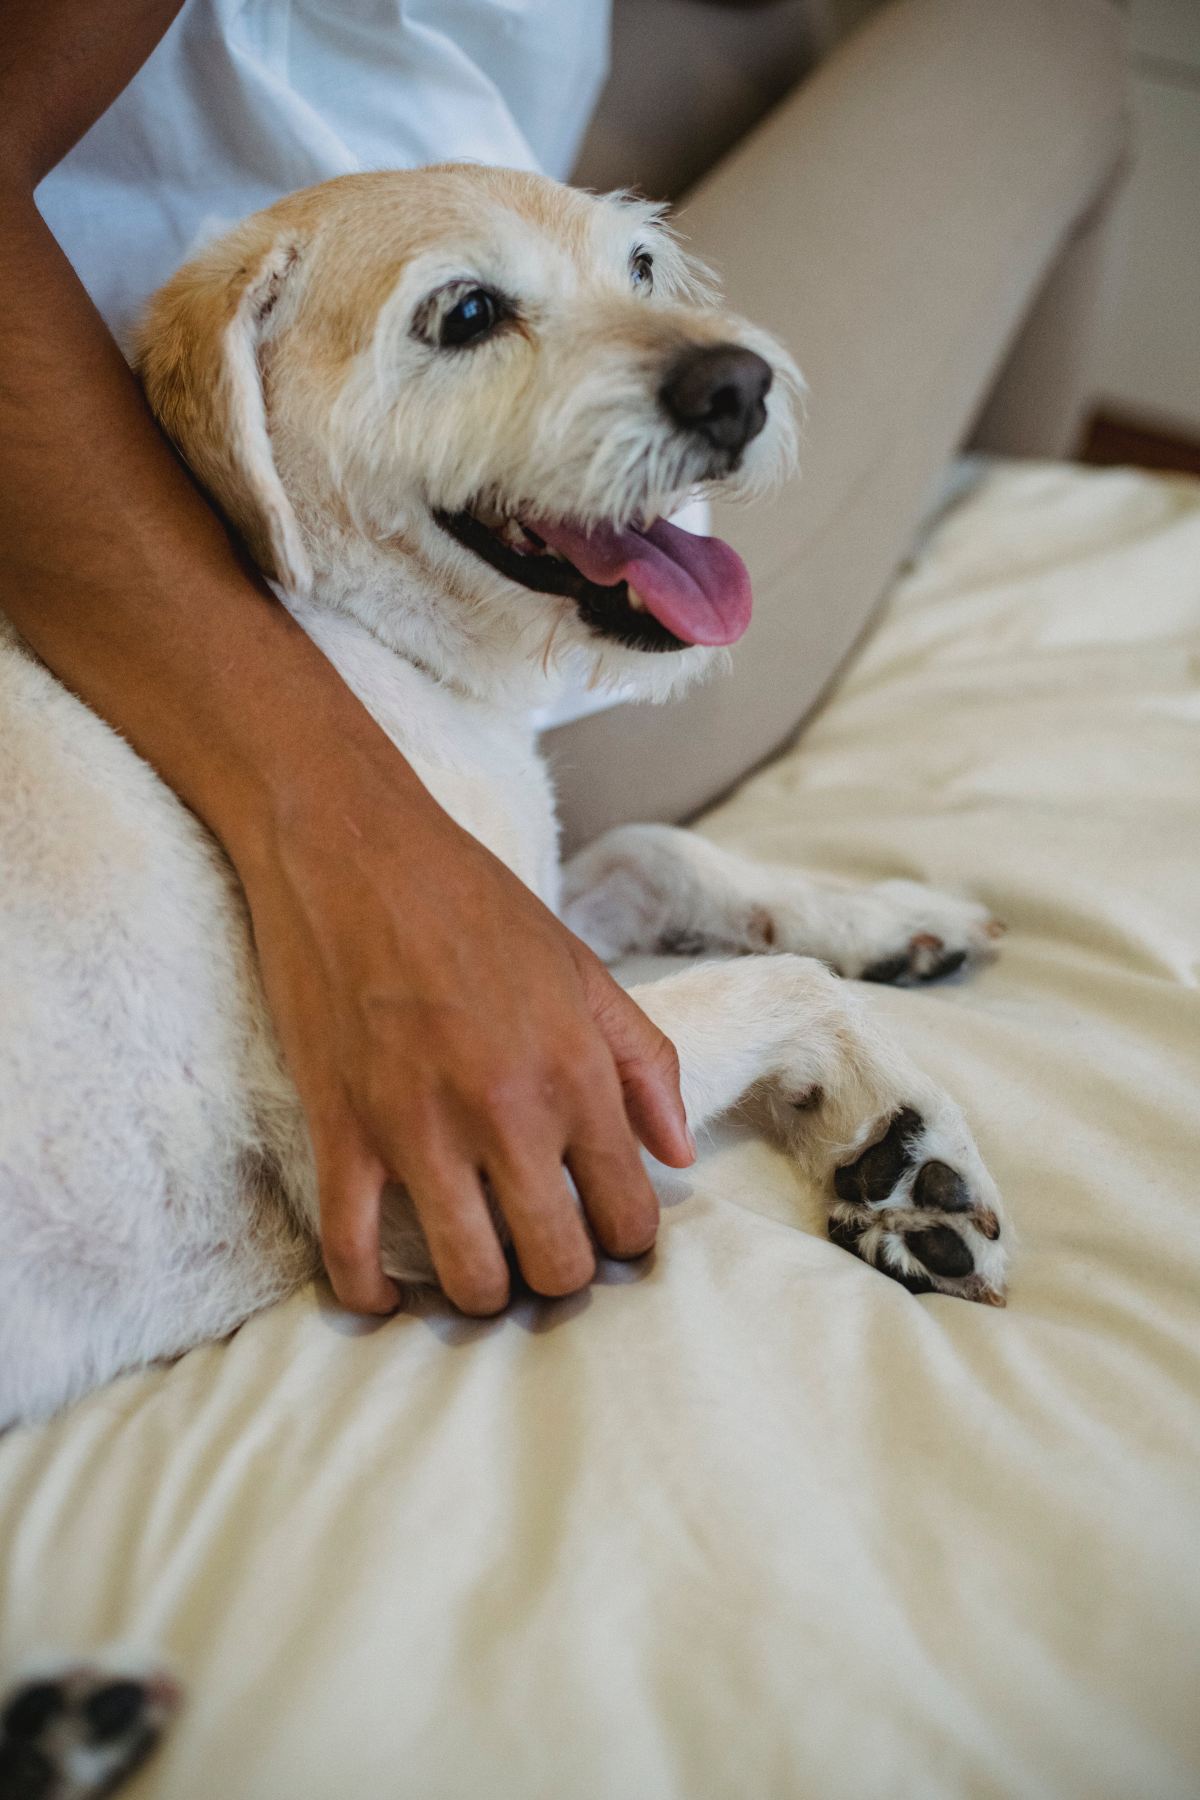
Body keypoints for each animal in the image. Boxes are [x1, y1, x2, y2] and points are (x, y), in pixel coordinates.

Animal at [0, 162, 1014, 1440]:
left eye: (639, 265)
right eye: (468, 314)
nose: (739, 384)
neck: (357, 644)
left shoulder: (544, 924)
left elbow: (658, 850)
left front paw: (887, 925)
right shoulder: (524, 1124)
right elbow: (785, 984)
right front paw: (906, 1130)